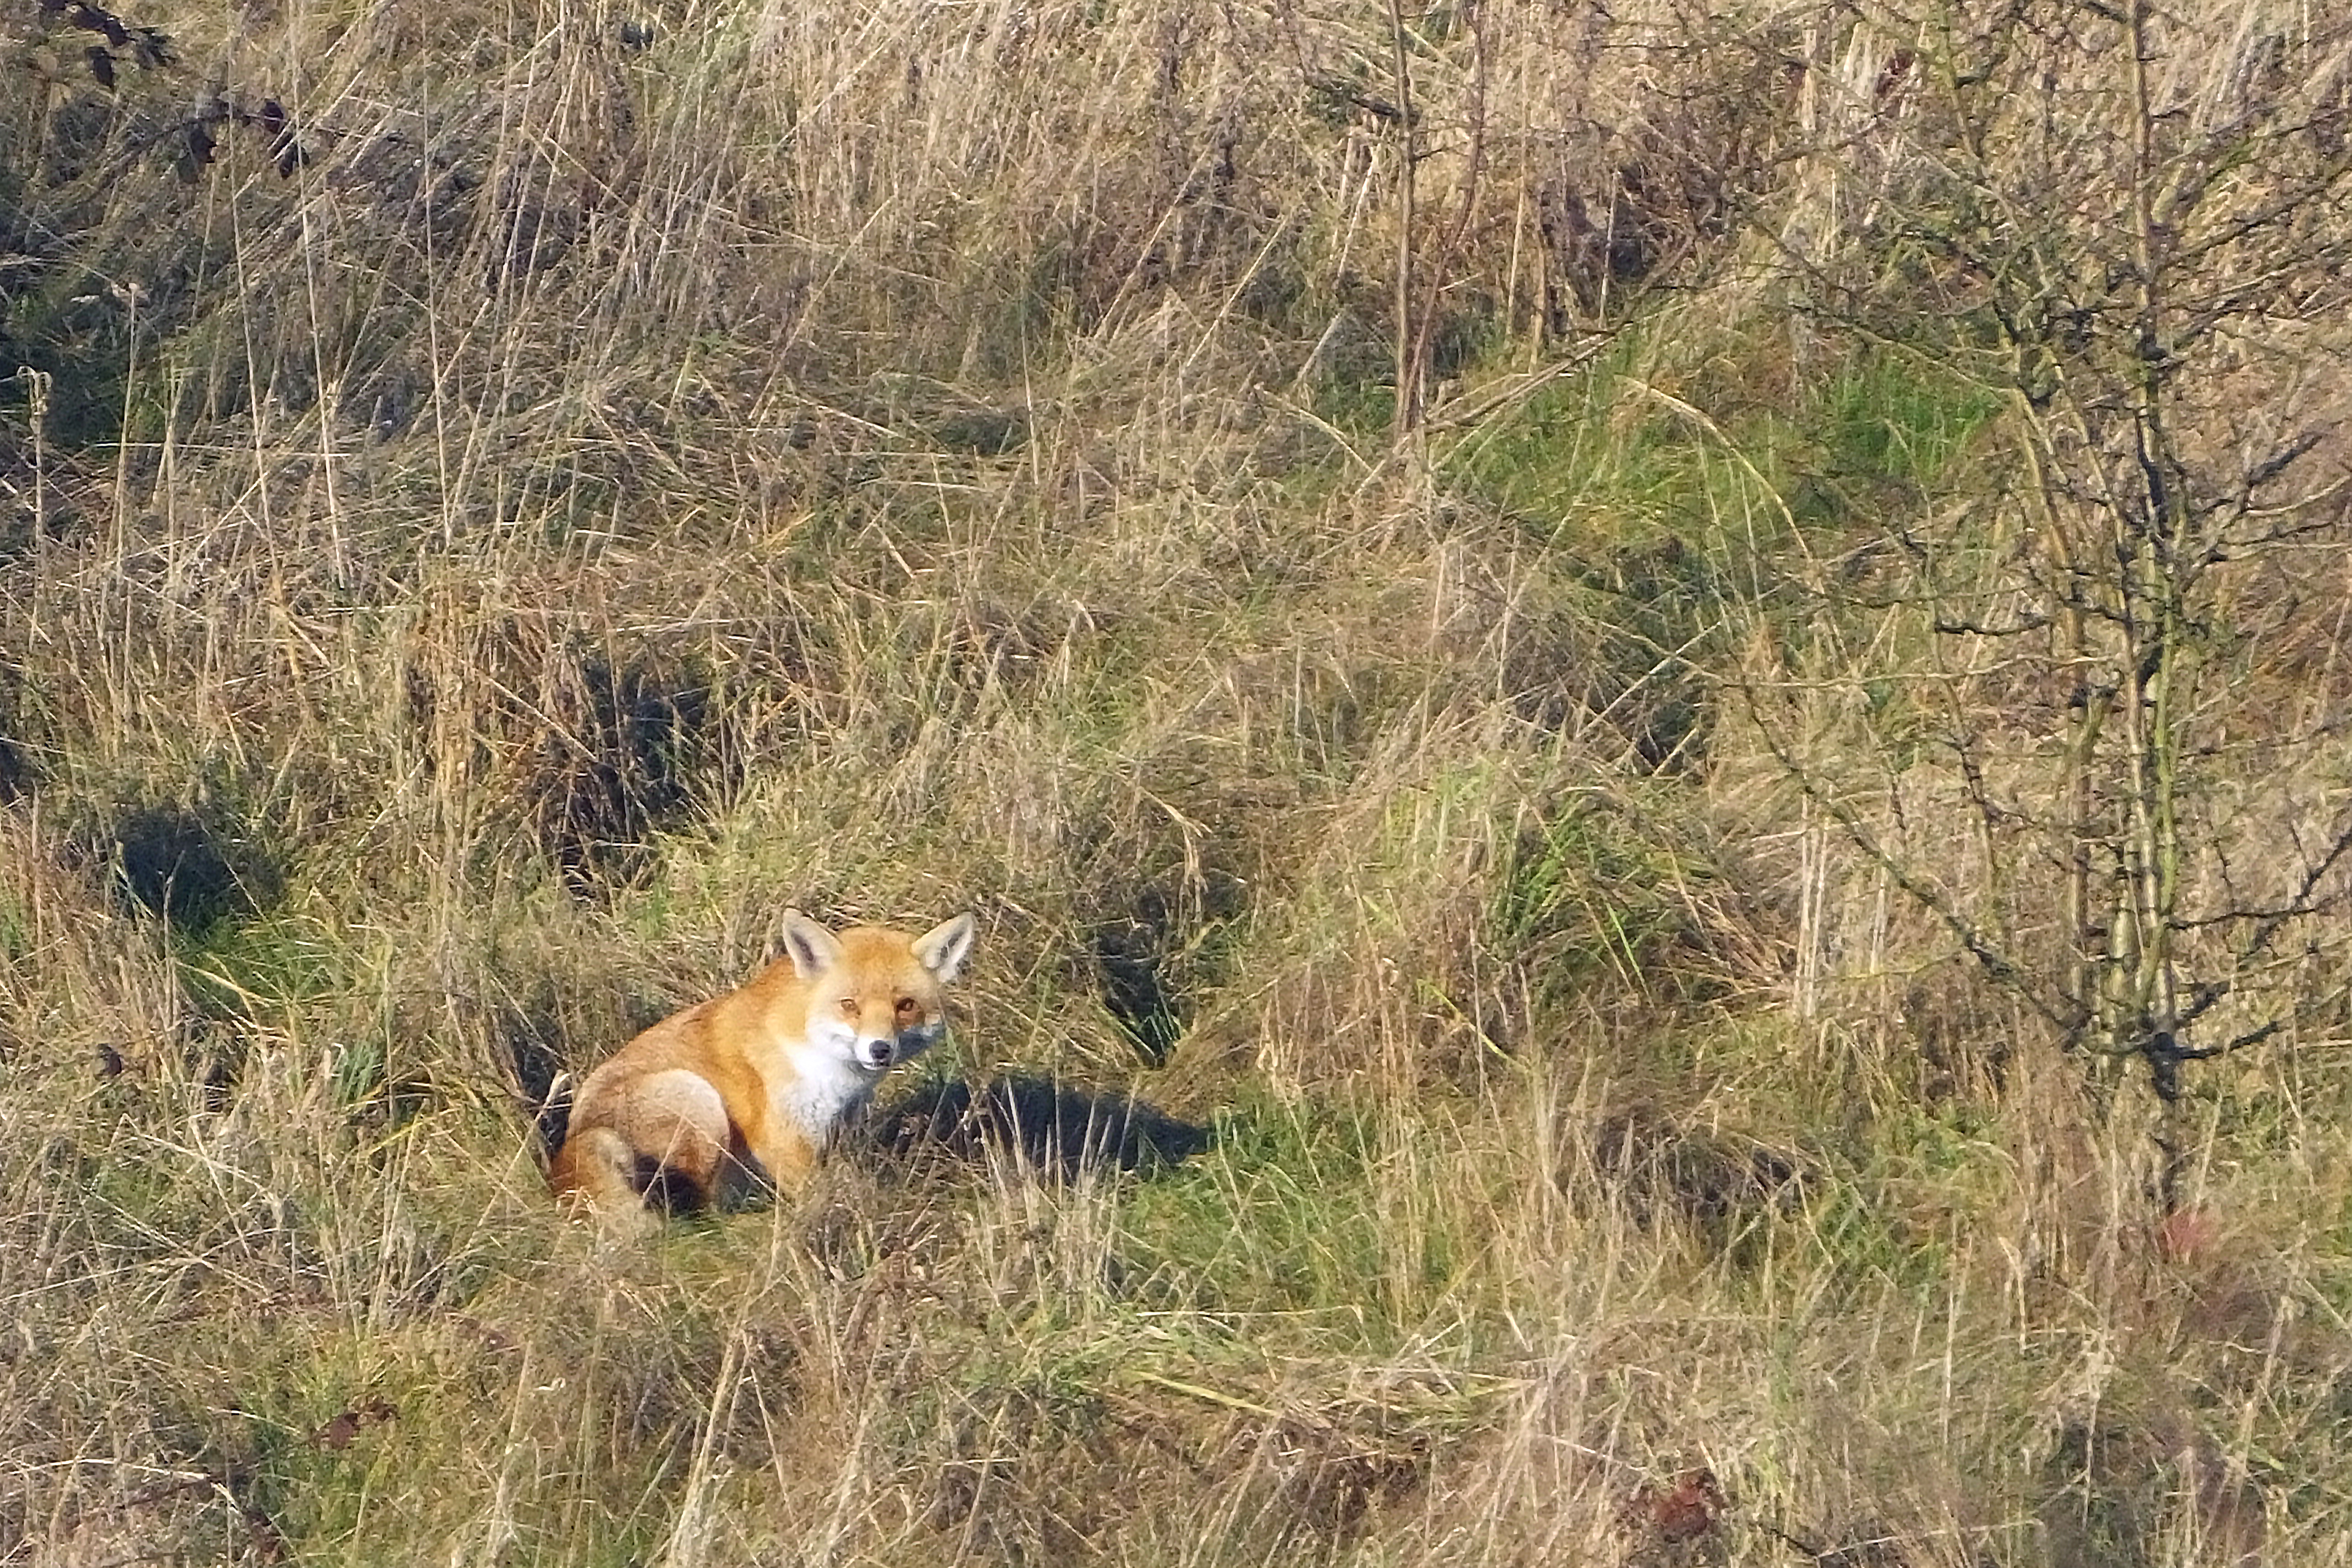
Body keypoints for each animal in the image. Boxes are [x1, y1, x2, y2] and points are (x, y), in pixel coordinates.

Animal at [547, 908, 976, 1225]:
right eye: (849, 1005)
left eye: (905, 1006)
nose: (879, 1049)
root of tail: (566, 1157)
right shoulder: (781, 1139)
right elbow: (818, 1194)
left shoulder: (835, 1131)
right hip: (700, 1102)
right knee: (699, 1209)